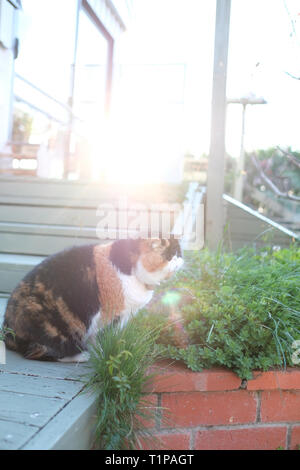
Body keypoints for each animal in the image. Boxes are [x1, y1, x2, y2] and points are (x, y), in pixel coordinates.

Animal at [2, 239, 183, 364]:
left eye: (179, 253)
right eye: (171, 255)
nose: (181, 259)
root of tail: (7, 329)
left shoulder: (123, 315)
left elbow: (113, 336)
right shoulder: (108, 315)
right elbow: (102, 337)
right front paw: (104, 354)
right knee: (37, 352)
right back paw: (82, 356)